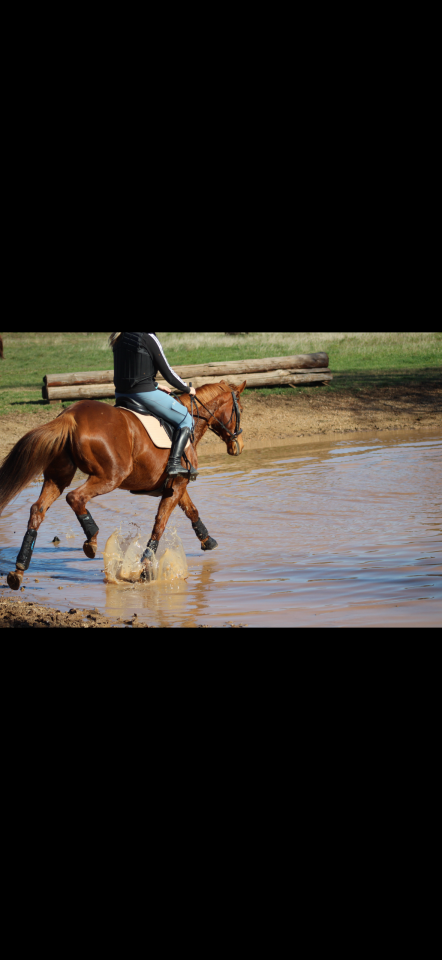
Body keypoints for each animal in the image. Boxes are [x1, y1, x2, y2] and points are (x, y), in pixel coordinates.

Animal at [0, 380, 246, 591]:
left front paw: (208, 540)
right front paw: (145, 567)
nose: (239, 446)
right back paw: (92, 539)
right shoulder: (177, 484)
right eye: (241, 411)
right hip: (110, 477)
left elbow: (191, 510)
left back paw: (19, 570)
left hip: (58, 478)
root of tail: (71, 415)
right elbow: (160, 523)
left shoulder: (176, 484)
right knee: (75, 497)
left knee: (38, 510)